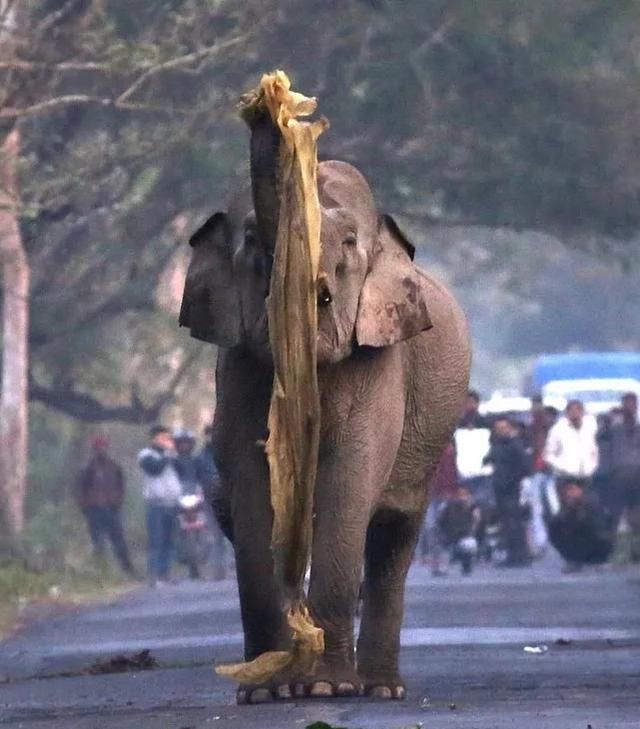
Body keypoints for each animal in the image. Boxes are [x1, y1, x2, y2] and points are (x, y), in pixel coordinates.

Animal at [180, 111, 470, 704]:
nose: (267, 107)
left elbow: (349, 481)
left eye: (350, 243)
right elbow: (253, 484)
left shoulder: (379, 361)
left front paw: (324, 687)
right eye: (250, 241)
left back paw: (379, 689)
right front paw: (267, 691)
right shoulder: (238, 367)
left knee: (392, 543)